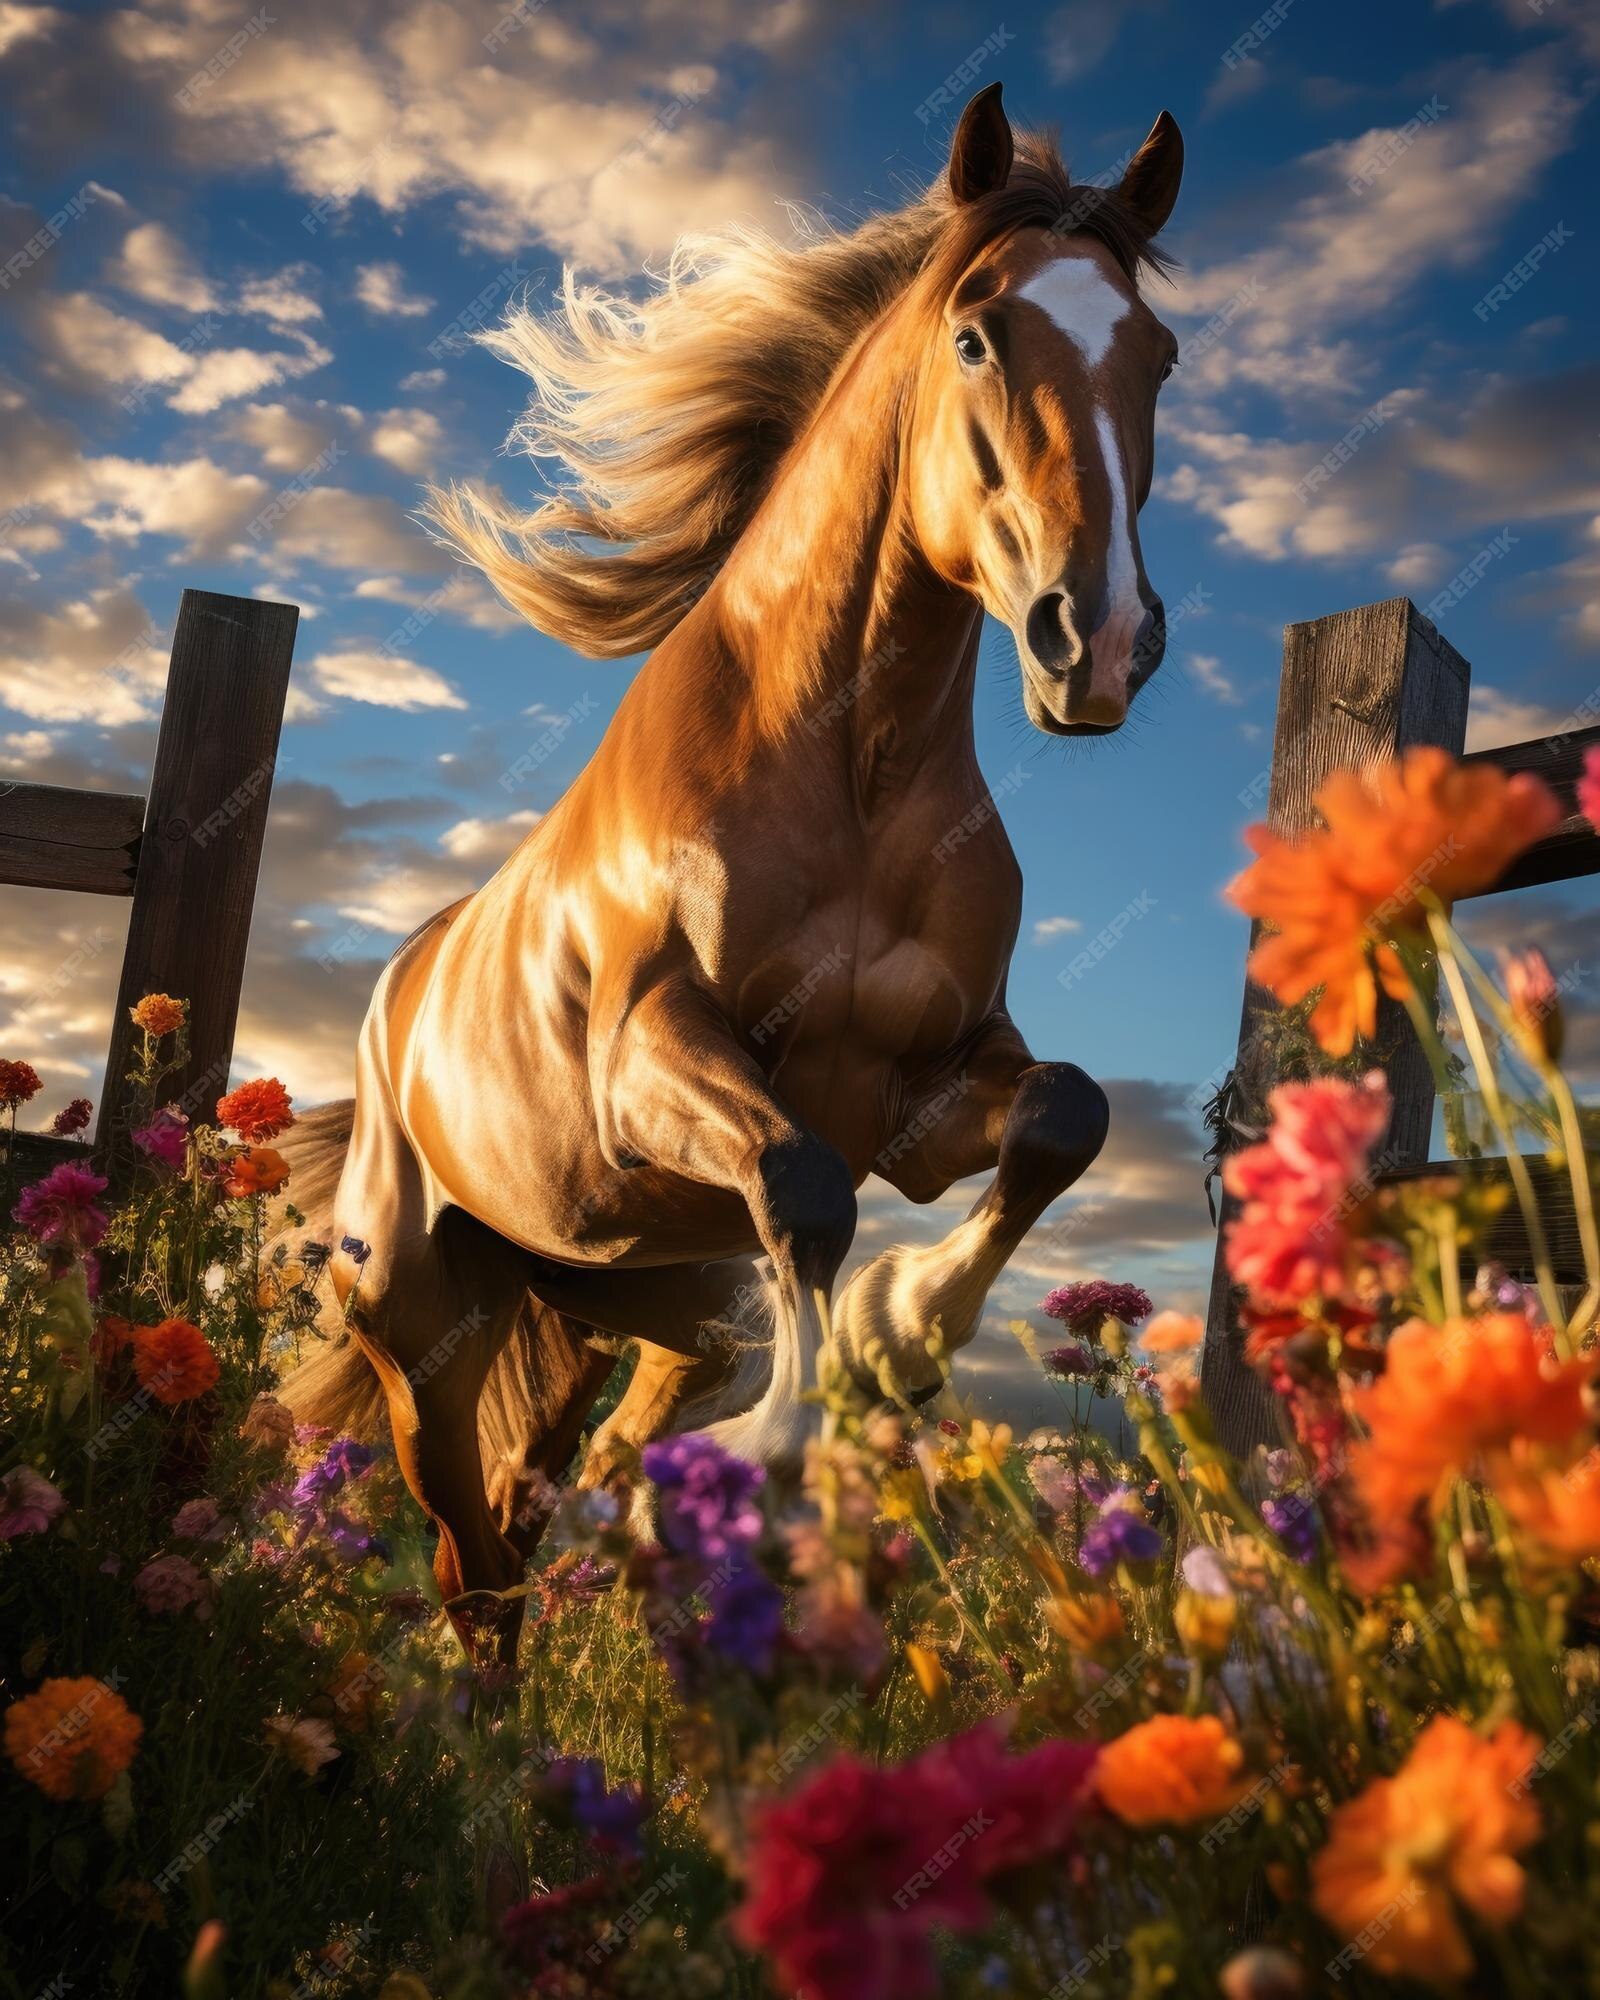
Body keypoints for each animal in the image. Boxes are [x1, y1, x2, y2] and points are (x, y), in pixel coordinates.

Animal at [276, 82, 1184, 1656]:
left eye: (1163, 358)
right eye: (976, 333)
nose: (1102, 637)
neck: (851, 764)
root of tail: (396, 992)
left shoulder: (930, 1090)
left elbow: (1061, 1115)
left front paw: (895, 1338)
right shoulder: (654, 1057)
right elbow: (806, 1187)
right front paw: (806, 1438)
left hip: (637, 1308)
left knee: (547, 1484)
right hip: (425, 1330)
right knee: (470, 1559)